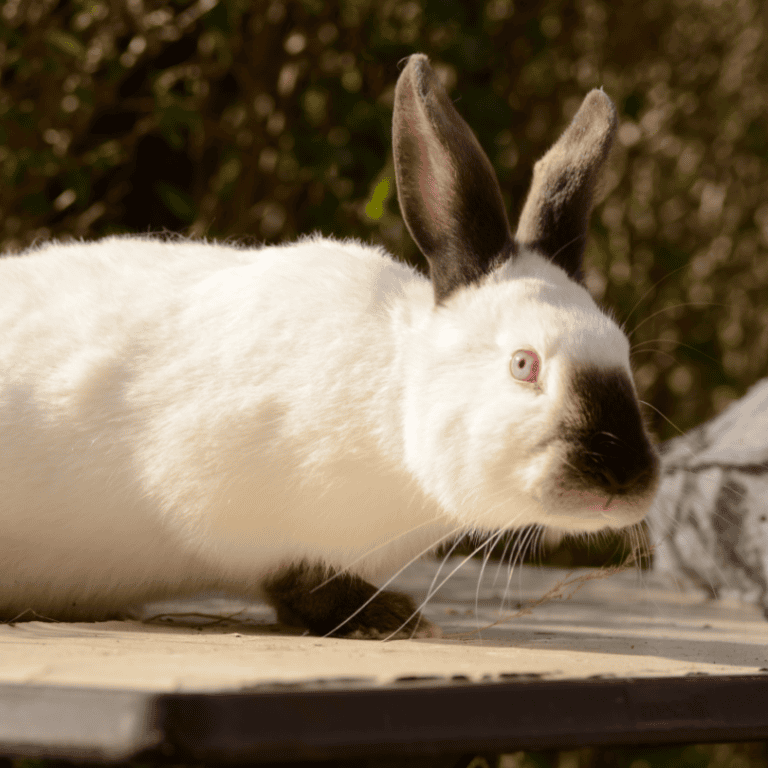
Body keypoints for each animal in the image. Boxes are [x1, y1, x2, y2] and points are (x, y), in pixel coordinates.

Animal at [0, 54, 659, 638]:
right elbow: (297, 582)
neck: (394, 412)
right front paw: (388, 618)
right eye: (524, 365)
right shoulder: (227, 506)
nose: (623, 479)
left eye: (624, 351)